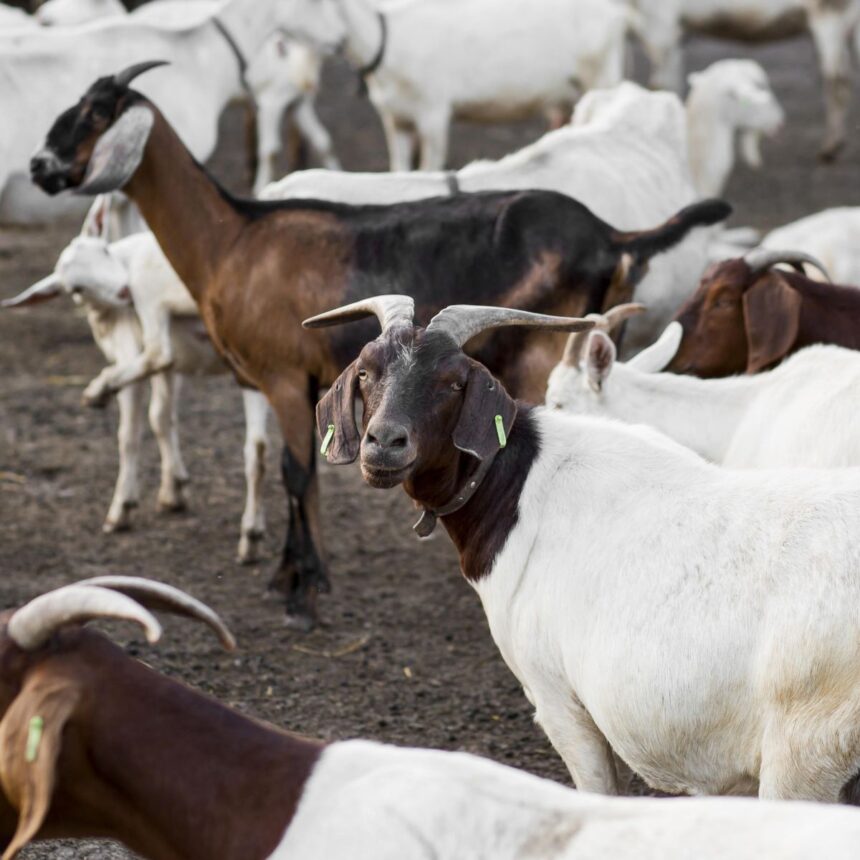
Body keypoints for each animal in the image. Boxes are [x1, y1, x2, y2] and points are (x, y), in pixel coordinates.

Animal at [2, 200, 271, 562]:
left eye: (103, 249)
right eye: (76, 288)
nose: (123, 290)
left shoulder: (129, 348)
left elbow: (129, 432)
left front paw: (122, 508)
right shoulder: (170, 371)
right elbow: (162, 417)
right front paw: (174, 490)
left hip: (152, 290)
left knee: (159, 352)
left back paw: (97, 391)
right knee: (258, 448)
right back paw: (252, 536)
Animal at [29, 63, 728, 629]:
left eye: (95, 113)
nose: (38, 167)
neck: (234, 239)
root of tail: (613, 236)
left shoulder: (285, 377)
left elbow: (298, 472)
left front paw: (305, 592)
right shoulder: (262, 379)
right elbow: (277, 465)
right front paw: (285, 573)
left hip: (542, 356)